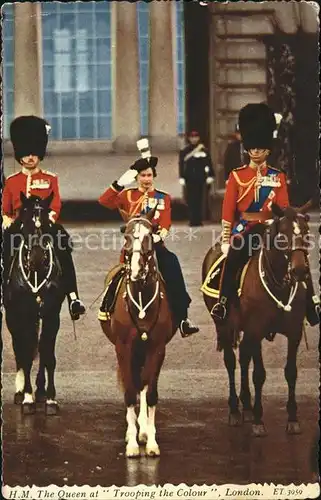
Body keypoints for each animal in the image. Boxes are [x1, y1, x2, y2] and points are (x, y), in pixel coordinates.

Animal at [3, 193, 64, 416]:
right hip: (12, 316)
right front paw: (27, 397)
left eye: (46, 223)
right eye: (26, 223)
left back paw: (40, 391)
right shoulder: (22, 314)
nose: (37, 258)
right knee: (19, 347)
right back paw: (21, 391)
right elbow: (25, 352)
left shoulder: (51, 314)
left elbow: (47, 353)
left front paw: (50, 399)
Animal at [99, 207, 175, 458]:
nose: (136, 270)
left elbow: (149, 393)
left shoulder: (157, 348)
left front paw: (150, 441)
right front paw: (132, 444)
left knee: (141, 382)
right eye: (126, 236)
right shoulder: (123, 348)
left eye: (149, 235)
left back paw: (142, 429)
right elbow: (130, 392)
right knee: (131, 383)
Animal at [202, 203, 312, 438]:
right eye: (282, 235)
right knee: (231, 361)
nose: (299, 270)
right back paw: (235, 410)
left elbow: (291, 372)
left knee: (244, 357)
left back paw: (247, 406)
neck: (278, 282)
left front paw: (292, 419)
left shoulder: (294, 333)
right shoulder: (256, 330)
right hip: (223, 325)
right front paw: (259, 421)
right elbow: (259, 374)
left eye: (307, 232)